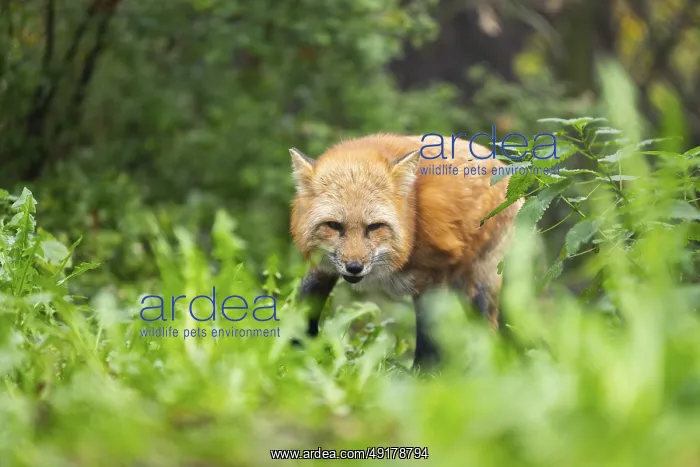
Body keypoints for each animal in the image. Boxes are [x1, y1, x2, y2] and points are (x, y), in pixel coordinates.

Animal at [288, 133, 524, 369]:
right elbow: (304, 310)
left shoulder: (433, 277)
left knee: (488, 337)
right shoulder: (322, 266)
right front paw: (294, 354)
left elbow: (428, 345)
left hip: (477, 288)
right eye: (334, 226)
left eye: (374, 227)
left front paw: (422, 376)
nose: (354, 267)